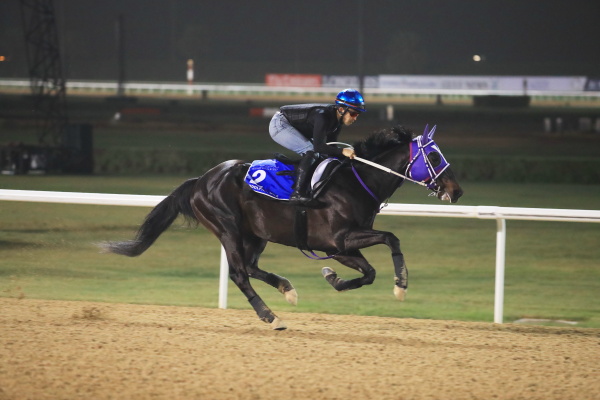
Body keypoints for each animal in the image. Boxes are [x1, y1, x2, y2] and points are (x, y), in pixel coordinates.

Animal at [103, 124, 462, 328]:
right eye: (433, 156)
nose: (457, 191)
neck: (357, 182)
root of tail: (200, 180)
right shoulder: (340, 238)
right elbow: (391, 238)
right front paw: (401, 285)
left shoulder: (337, 247)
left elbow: (369, 272)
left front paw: (333, 278)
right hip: (227, 228)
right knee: (239, 273)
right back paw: (270, 316)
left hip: (255, 234)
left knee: (250, 267)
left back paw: (286, 289)